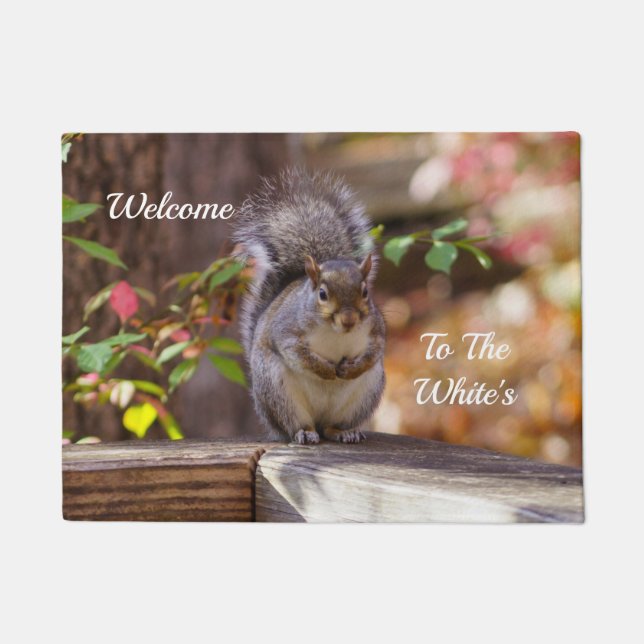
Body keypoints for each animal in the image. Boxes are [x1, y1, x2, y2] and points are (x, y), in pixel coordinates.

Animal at [233, 168, 386, 444]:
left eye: (365, 292)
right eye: (322, 294)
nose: (349, 319)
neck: (336, 333)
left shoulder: (376, 329)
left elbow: (375, 351)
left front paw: (351, 368)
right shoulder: (286, 329)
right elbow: (296, 351)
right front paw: (326, 370)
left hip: (364, 394)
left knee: (331, 427)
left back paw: (344, 432)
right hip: (278, 392)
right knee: (297, 425)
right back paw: (304, 433)